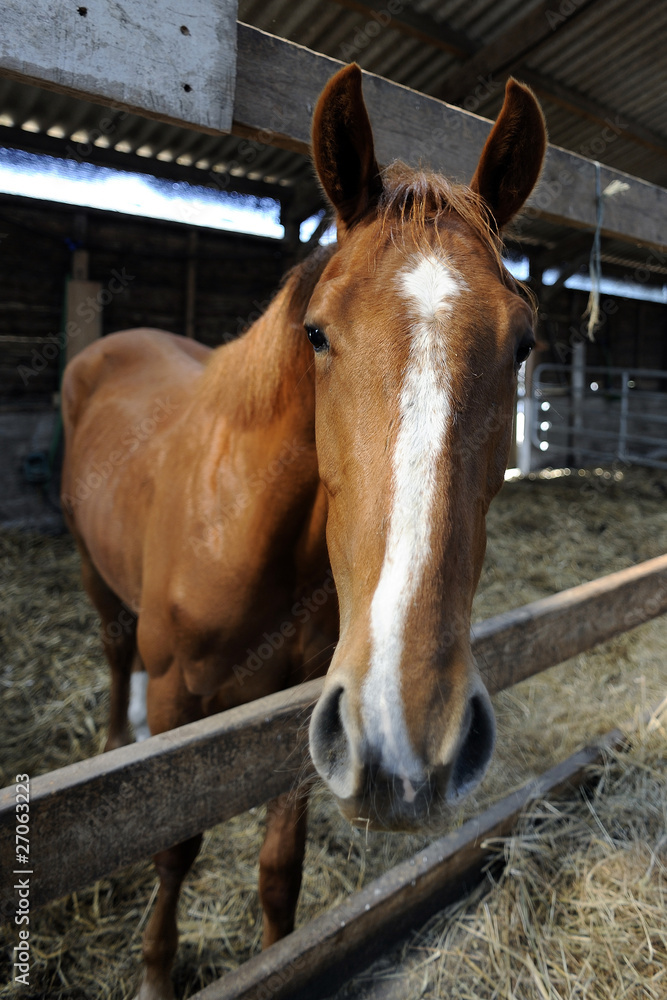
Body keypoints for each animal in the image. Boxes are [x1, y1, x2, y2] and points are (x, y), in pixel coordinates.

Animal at [61, 64, 546, 1000]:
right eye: (317, 333)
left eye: (524, 344)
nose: (410, 739)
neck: (248, 530)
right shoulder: (181, 699)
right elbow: (173, 843)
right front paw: (156, 973)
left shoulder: (310, 702)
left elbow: (279, 869)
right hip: (97, 579)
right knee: (113, 653)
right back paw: (111, 738)